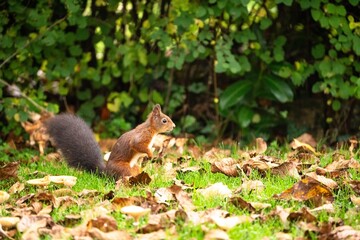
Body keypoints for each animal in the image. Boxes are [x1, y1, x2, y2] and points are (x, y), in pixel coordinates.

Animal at [45, 104, 175, 179]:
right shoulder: (142, 136)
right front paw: (150, 154)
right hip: (123, 168)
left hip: (133, 168)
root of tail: (106, 172)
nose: (174, 126)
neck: (152, 129)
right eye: (164, 120)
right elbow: (137, 144)